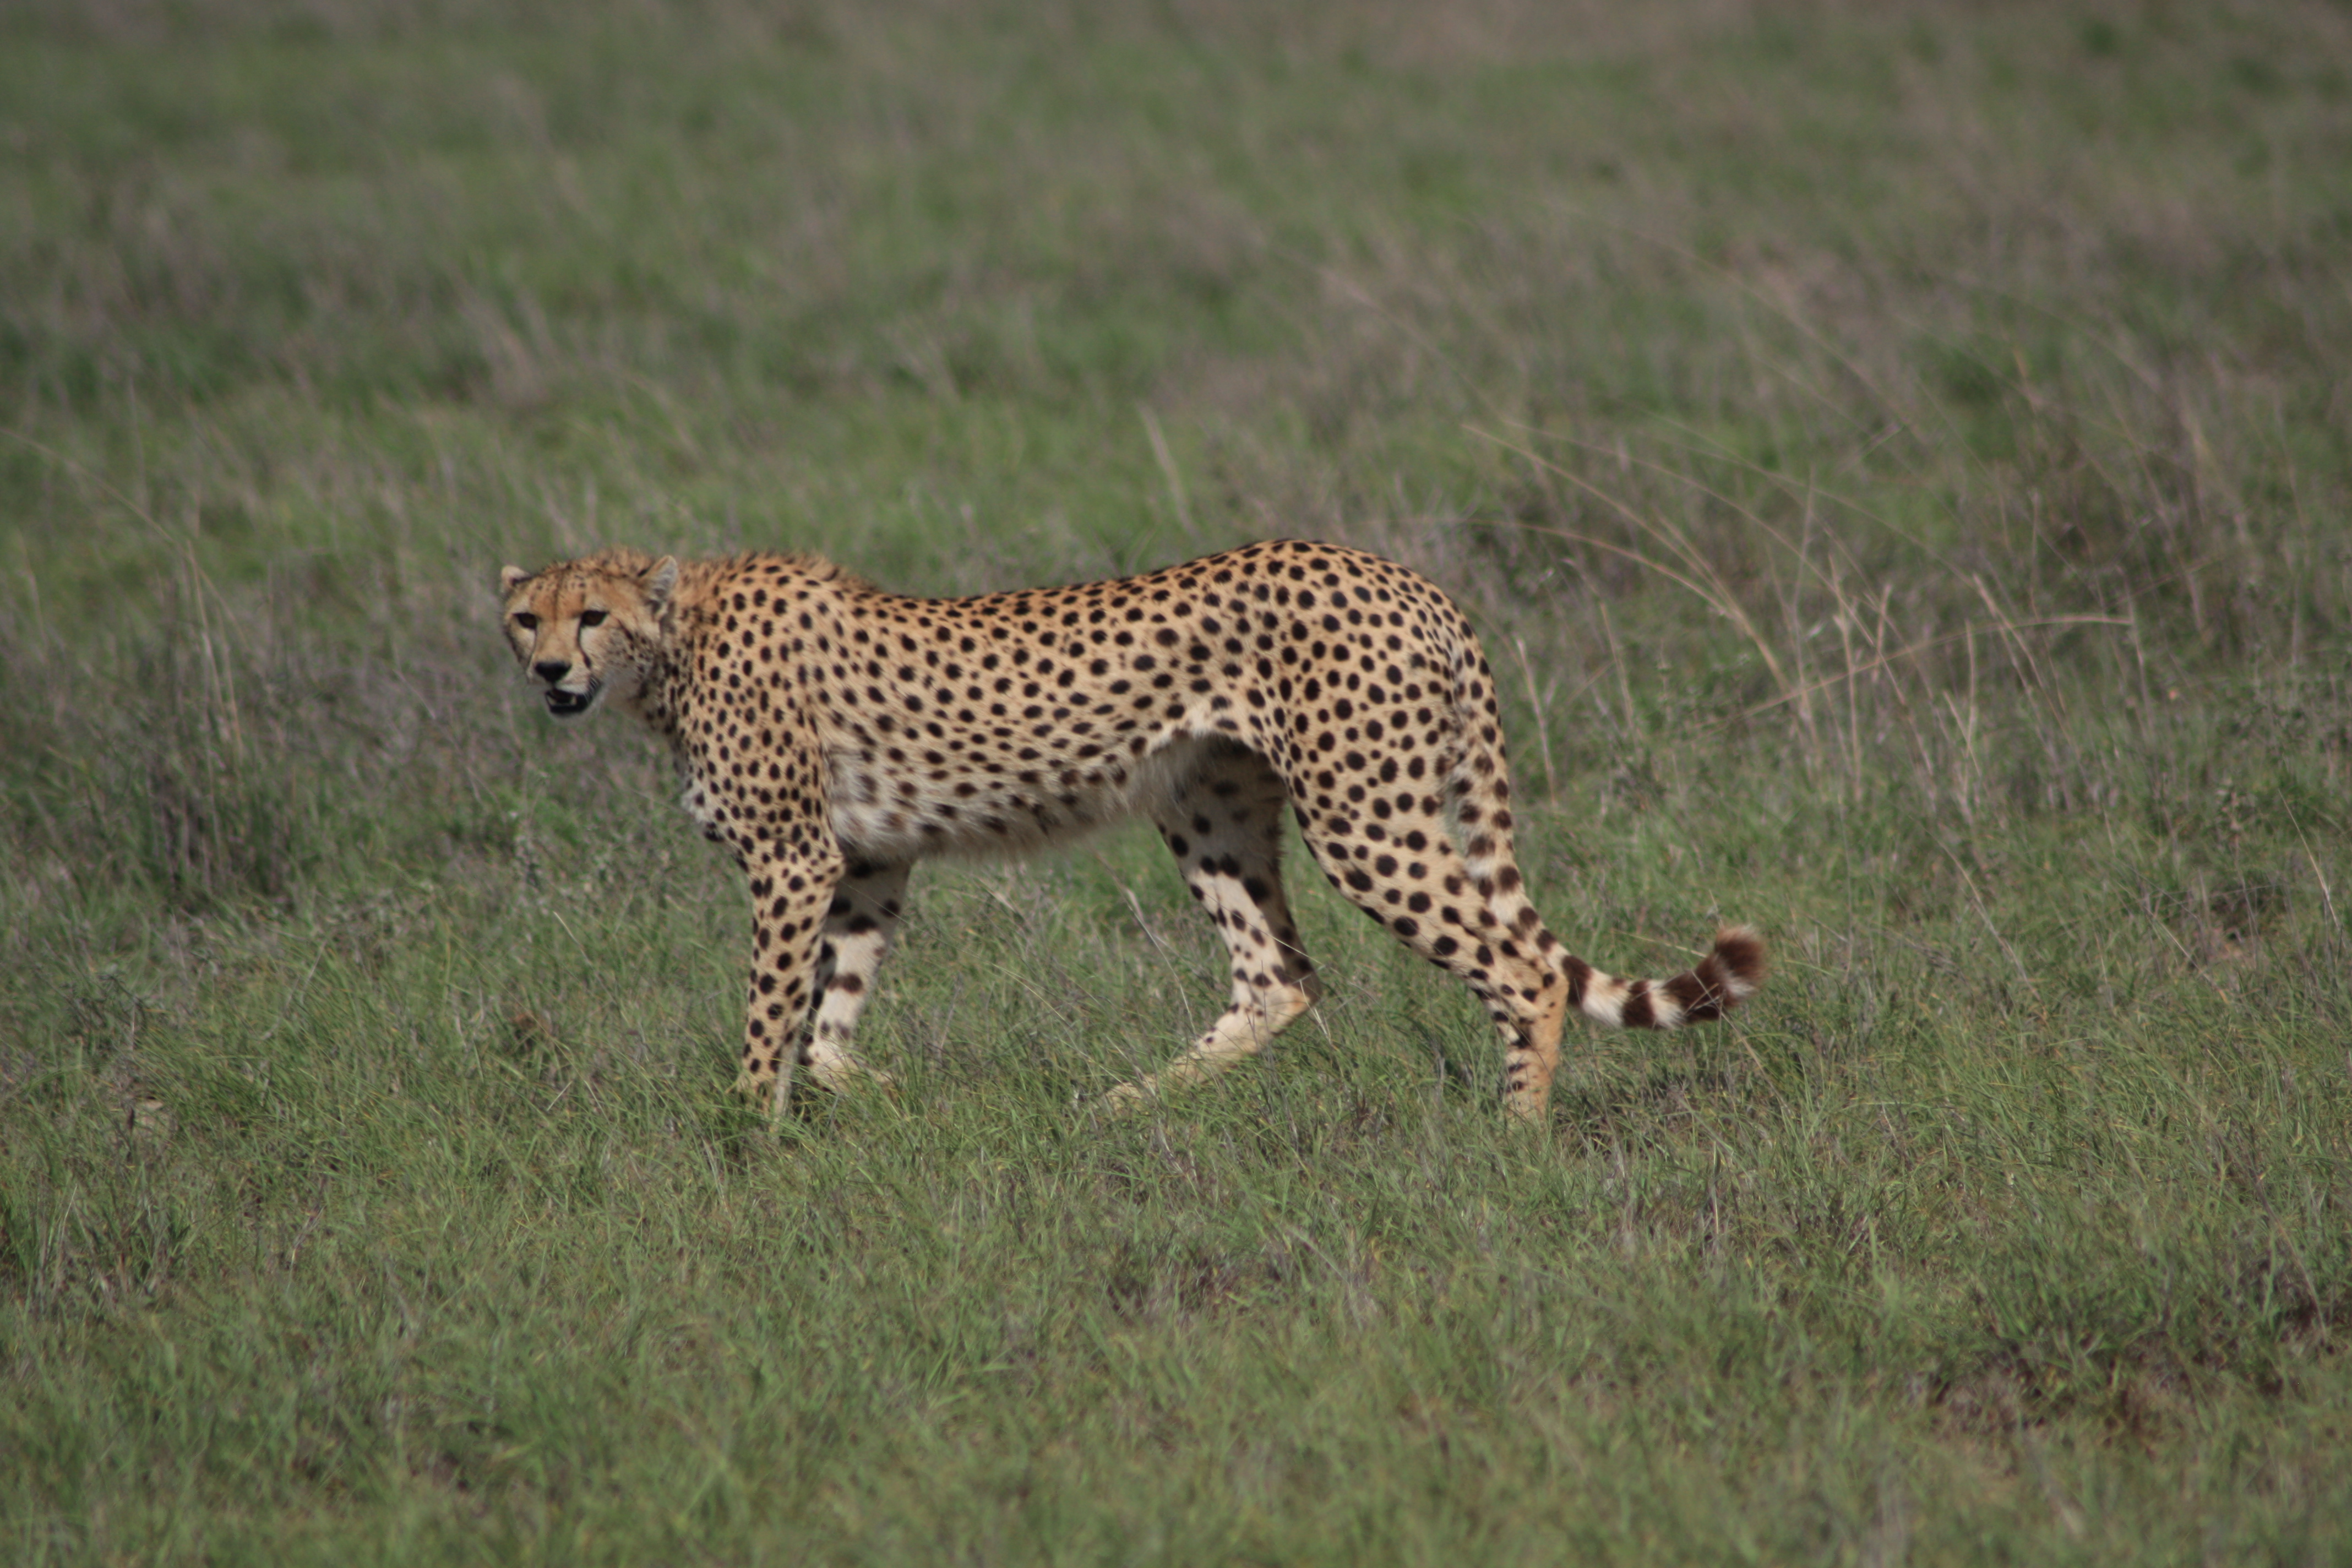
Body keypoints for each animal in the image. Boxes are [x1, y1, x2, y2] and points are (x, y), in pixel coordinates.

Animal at [500, 545, 1768, 1123]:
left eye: (590, 615)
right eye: (525, 616)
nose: (550, 671)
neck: (673, 643)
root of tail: (1405, 575)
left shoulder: (793, 860)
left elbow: (771, 1018)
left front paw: (739, 1131)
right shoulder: (866, 859)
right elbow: (829, 1023)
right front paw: (887, 1100)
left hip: (1365, 816)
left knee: (1520, 968)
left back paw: (1511, 1134)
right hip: (1208, 808)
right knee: (1280, 975)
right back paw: (1116, 1105)